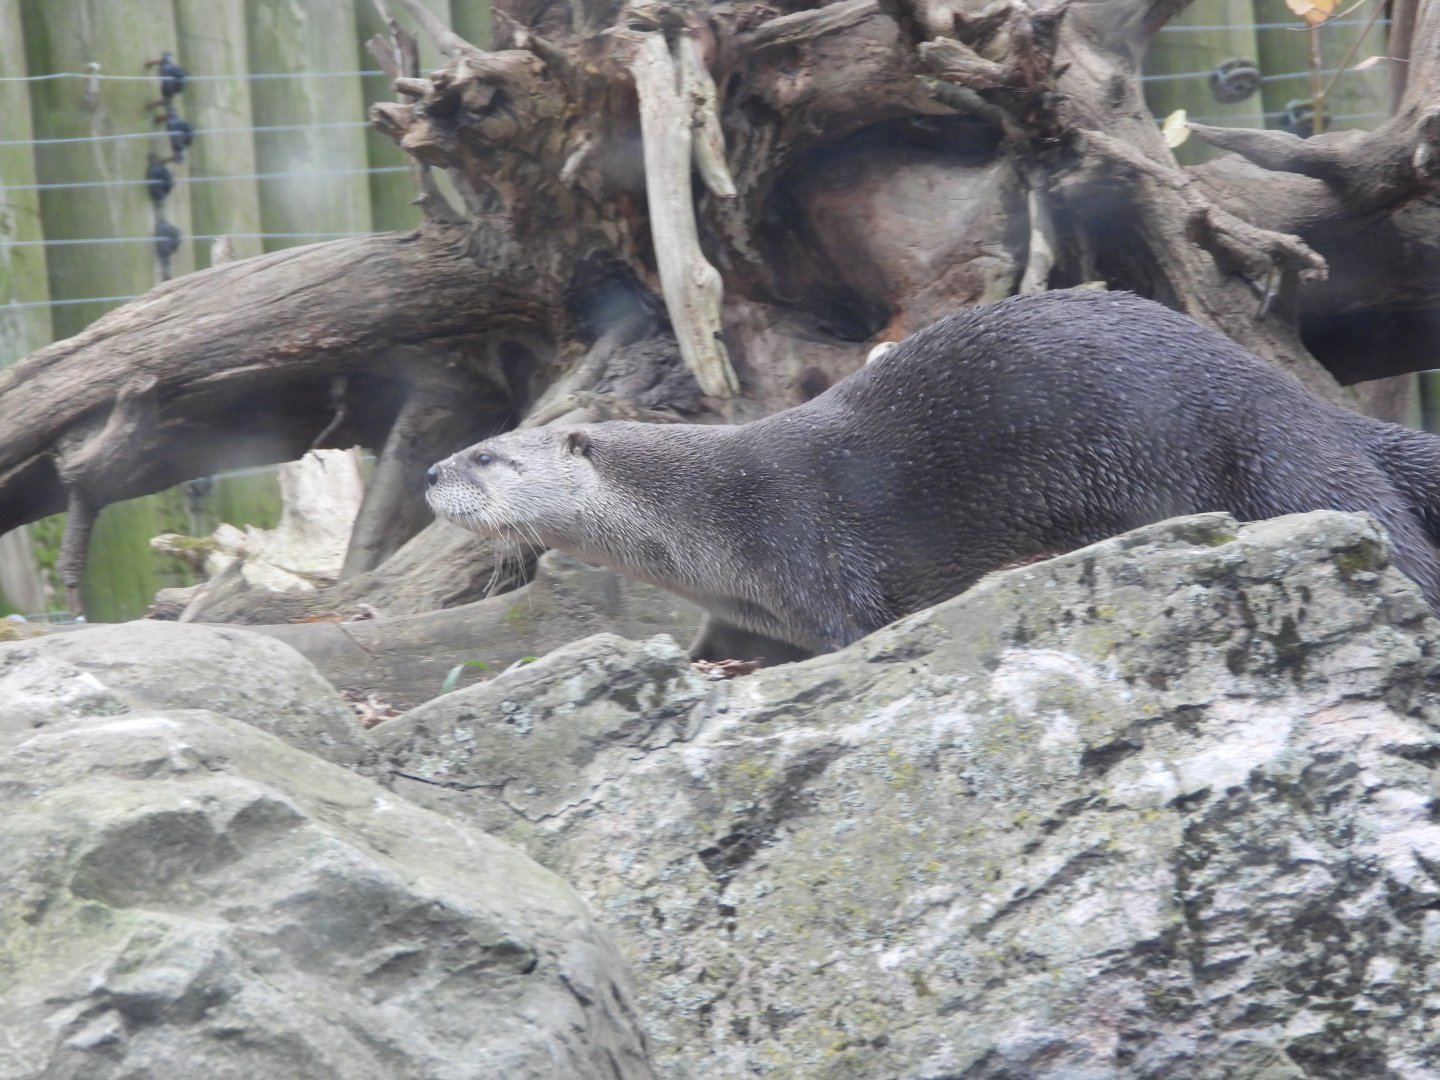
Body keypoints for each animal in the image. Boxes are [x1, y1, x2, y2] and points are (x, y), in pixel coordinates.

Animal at [427, 289, 1440, 664]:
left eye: (490, 455)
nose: (434, 472)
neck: (707, 519)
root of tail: (1300, 399)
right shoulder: (750, 610)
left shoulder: (810, 549)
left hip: (1274, 457)